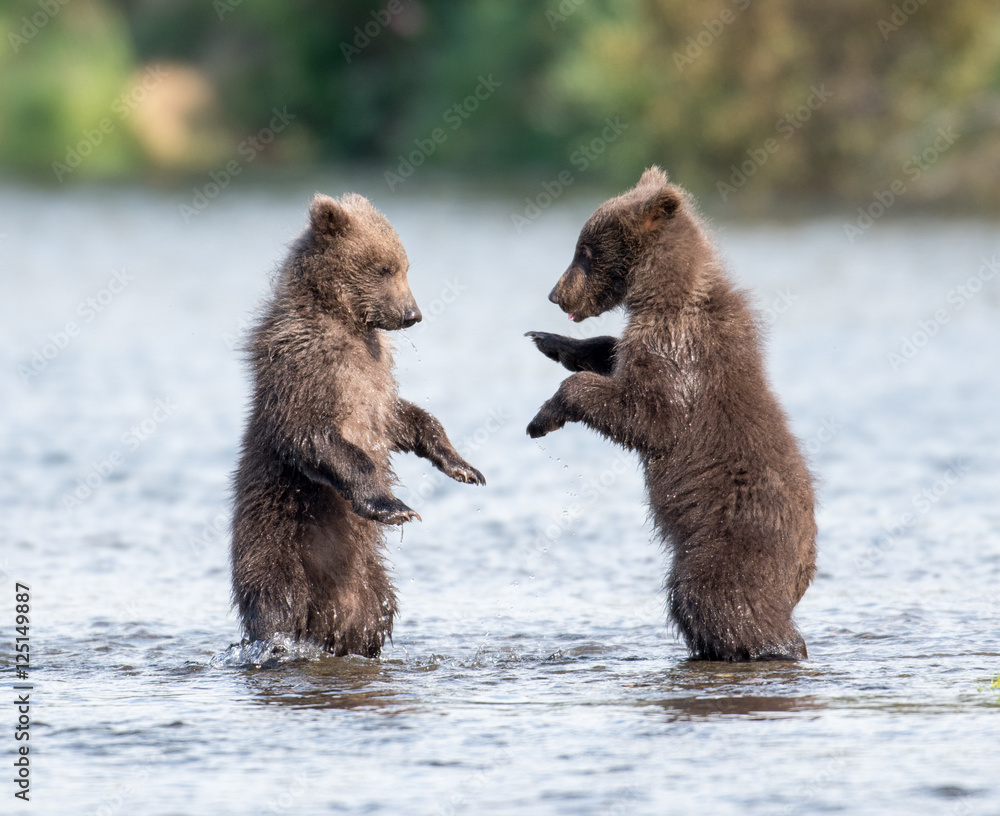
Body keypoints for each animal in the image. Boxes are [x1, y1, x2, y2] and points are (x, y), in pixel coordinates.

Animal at [231, 192, 485, 658]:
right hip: (276, 539)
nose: (412, 314)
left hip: (367, 577)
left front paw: (463, 467)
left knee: (376, 614)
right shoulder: (305, 367)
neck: (344, 320)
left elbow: (406, 419)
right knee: (277, 601)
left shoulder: (377, 384)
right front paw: (394, 506)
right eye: (384, 268)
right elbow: (313, 437)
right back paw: (276, 641)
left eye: (405, 265)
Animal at [525, 166, 816, 661]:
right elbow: (613, 354)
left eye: (586, 252)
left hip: (732, 544)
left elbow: (648, 416)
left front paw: (544, 416)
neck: (663, 294)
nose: (555, 295)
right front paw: (553, 342)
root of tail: (804, 563)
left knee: (714, 599)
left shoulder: (680, 353)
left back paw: (765, 645)